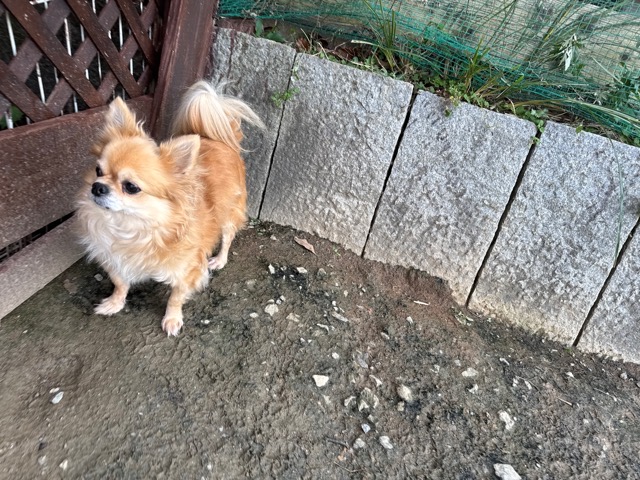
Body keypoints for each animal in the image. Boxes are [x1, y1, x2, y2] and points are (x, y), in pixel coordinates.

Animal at [76, 81, 263, 336]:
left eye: (131, 187)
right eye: (98, 171)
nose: (97, 187)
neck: (130, 227)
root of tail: (215, 138)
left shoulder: (188, 269)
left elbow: (176, 297)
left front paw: (172, 319)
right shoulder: (112, 259)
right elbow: (120, 283)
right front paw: (115, 303)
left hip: (228, 213)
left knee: (227, 237)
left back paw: (219, 259)